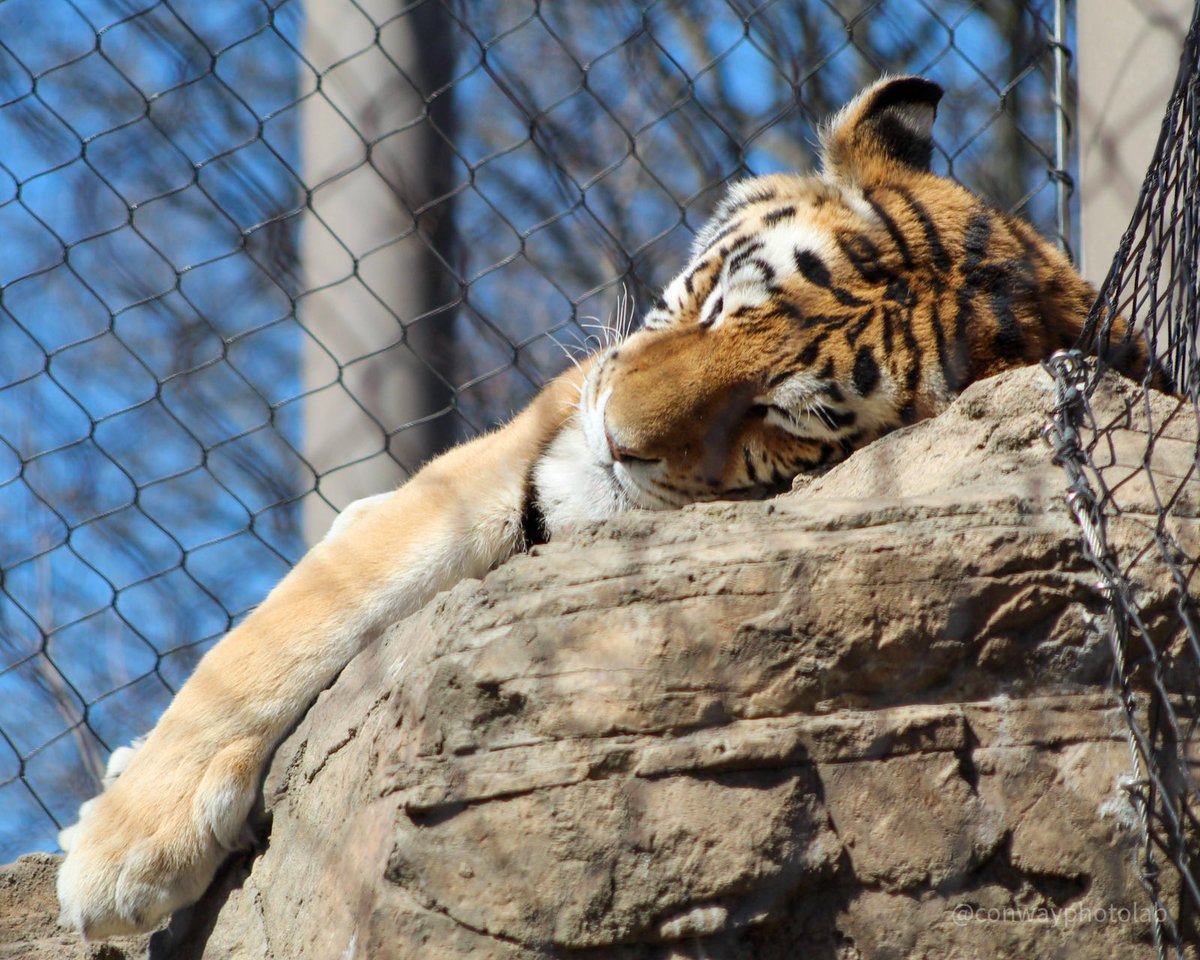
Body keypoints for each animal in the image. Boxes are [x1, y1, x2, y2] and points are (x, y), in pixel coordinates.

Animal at [56, 75, 1158, 939]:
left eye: (789, 413)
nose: (615, 439)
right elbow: (286, 632)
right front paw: (121, 855)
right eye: (716, 300)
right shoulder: (510, 453)